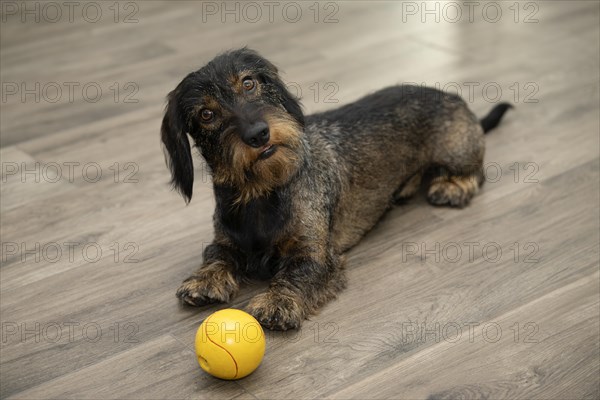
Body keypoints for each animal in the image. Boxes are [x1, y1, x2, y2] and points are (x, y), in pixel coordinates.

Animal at [161, 47, 510, 330]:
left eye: (248, 83)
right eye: (206, 114)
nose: (258, 134)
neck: (261, 192)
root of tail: (453, 97)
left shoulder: (316, 254)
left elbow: (299, 272)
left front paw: (278, 302)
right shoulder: (226, 239)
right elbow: (217, 253)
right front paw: (204, 278)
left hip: (456, 150)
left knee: (475, 172)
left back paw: (452, 185)